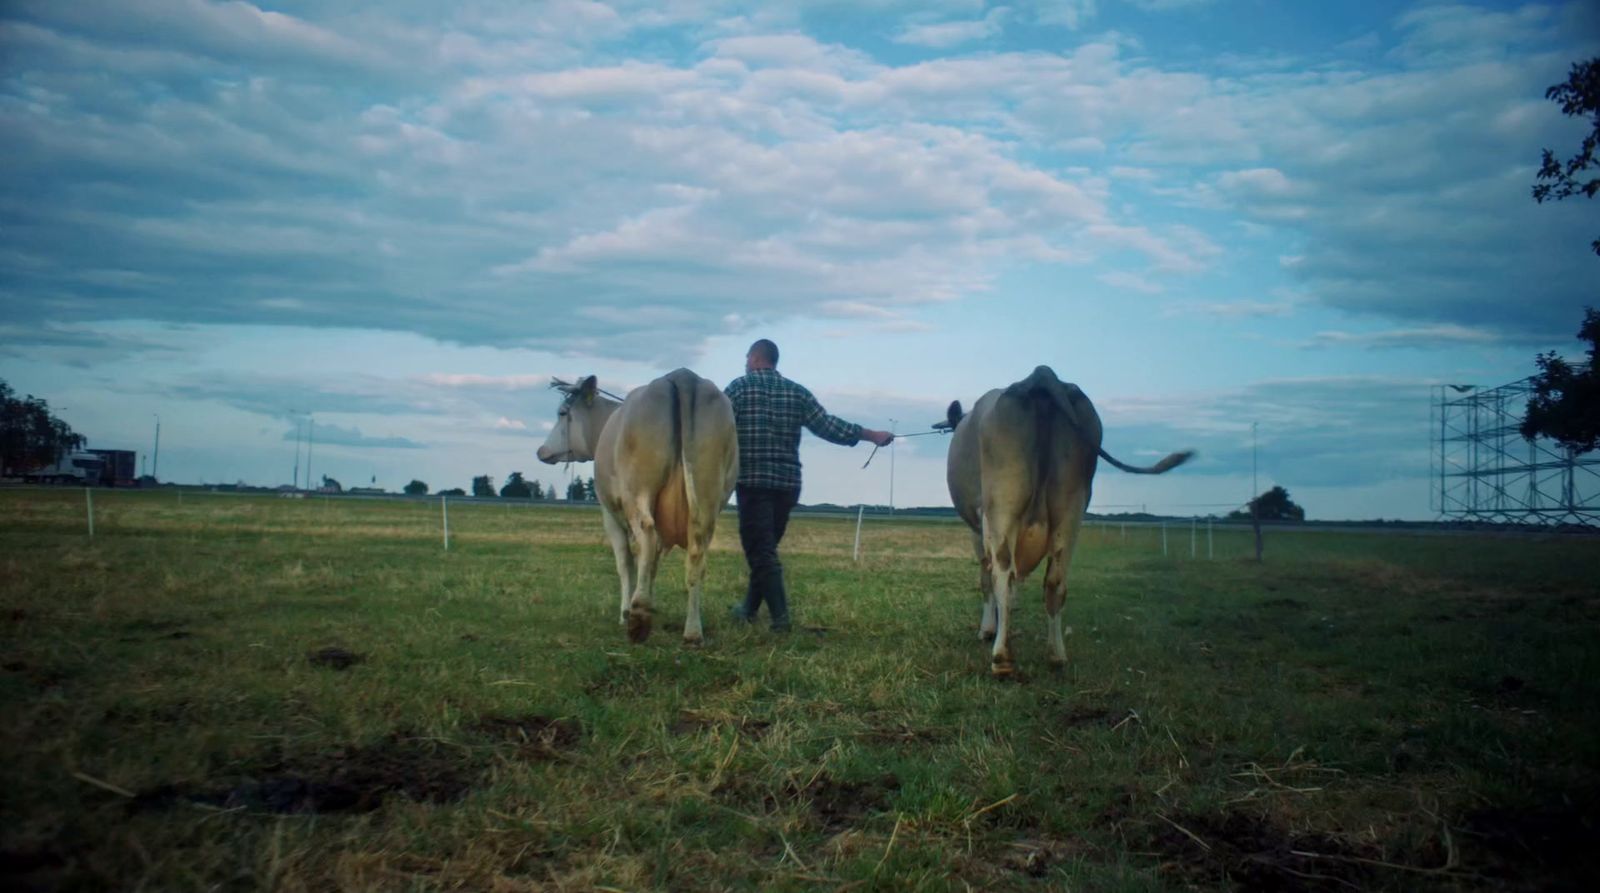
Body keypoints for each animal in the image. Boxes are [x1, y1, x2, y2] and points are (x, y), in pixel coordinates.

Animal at [537, 368, 736, 646]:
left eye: (562, 413)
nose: (541, 451)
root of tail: (683, 376)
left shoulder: (609, 512)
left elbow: (626, 561)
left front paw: (625, 611)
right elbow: (651, 564)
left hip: (637, 492)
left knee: (647, 536)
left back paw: (638, 616)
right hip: (709, 495)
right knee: (696, 553)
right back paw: (693, 632)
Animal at [940, 368, 1196, 675]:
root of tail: (1040, 374)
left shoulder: (978, 530)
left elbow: (986, 579)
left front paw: (988, 630)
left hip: (1001, 501)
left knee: (1003, 574)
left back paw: (1002, 659)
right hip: (1071, 504)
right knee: (1055, 581)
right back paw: (1056, 656)